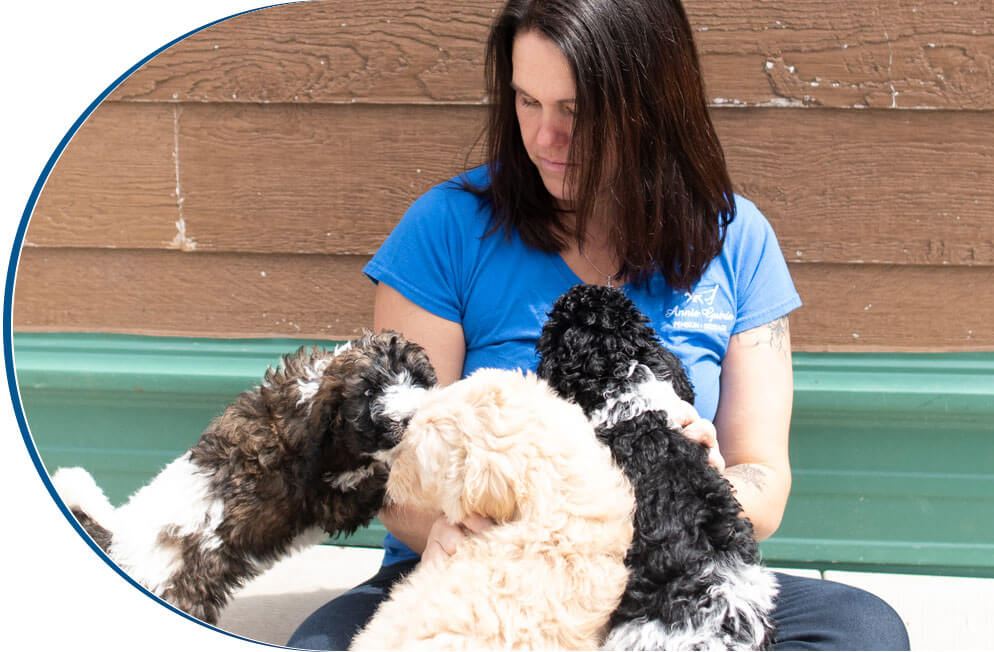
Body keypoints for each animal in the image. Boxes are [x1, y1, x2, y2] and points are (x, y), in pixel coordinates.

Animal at [51, 334, 434, 624]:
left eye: (417, 377)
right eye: (369, 393)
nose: (414, 416)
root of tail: (117, 541)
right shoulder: (328, 499)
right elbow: (378, 477)